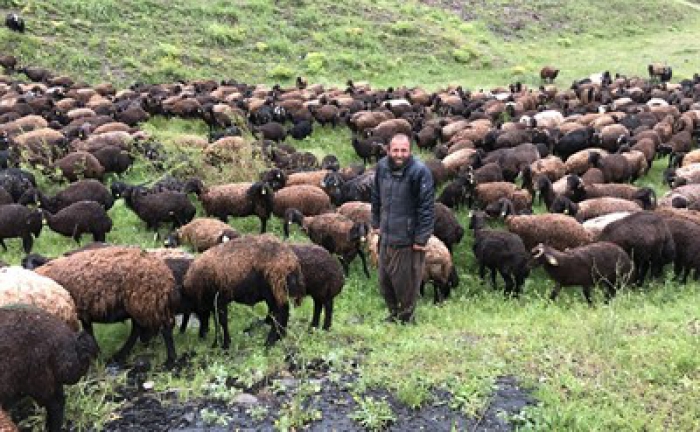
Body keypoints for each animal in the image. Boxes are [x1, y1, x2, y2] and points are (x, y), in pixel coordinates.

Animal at [35, 248, 179, 366]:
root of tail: (166, 273)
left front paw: (96, 357)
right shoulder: (83, 313)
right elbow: (89, 332)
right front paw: (97, 355)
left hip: (148, 303)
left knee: (165, 328)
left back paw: (170, 360)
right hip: (142, 305)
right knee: (138, 328)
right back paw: (120, 355)